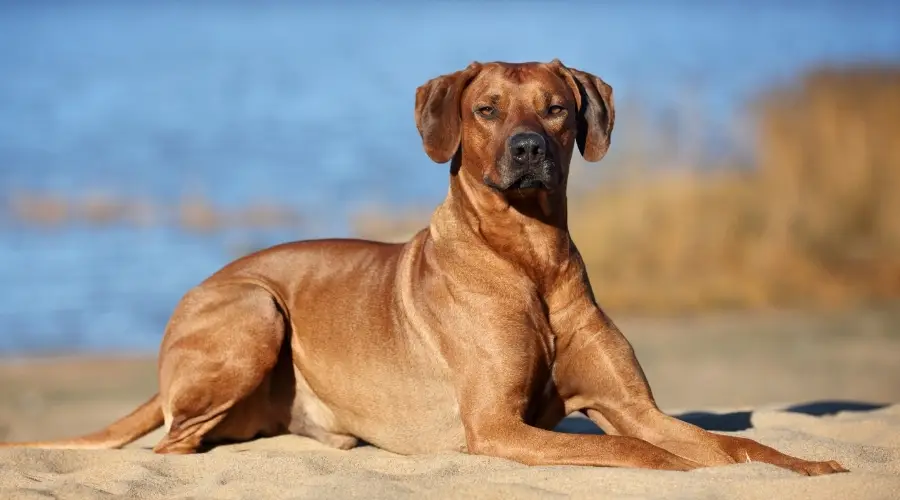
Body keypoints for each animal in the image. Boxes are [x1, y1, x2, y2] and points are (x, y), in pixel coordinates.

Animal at [0, 60, 848, 474]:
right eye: (486, 109)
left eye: (556, 108)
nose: (528, 150)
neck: (530, 258)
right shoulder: (496, 424)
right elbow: (631, 449)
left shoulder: (630, 404)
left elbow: (734, 447)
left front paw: (803, 468)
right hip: (255, 308)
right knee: (174, 446)